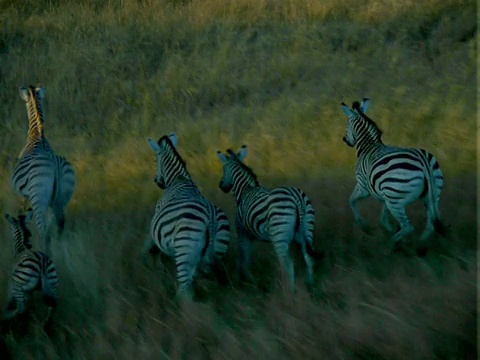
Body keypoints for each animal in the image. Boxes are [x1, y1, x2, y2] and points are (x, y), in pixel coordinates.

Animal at [11, 84, 75, 255]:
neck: (37, 134)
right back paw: (60, 252)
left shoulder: (22, 196)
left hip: (39, 196)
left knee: (44, 231)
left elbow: (23, 216)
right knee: (59, 227)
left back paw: (44, 251)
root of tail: (54, 163)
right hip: (61, 198)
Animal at [142, 134, 231, 300]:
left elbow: (149, 241)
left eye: (155, 160)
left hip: (185, 250)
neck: (179, 178)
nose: (157, 182)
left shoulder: (156, 215)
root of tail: (210, 218)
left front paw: (148, 257)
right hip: (218, 251)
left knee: (186, 292)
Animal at [216, 145, 320, 292]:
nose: (221, 186)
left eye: (223, 169)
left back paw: (290, 291)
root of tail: (296, 198)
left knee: (288, 262)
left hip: (279, 233)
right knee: (308, 256)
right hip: (306, 228)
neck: (245, 190)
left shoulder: (242, 233)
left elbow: (242, 258)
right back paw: (311, 286)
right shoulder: (251, 236)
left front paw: (248, 281)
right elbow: (244, 259)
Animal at [342, 98, 446, 256]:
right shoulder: (387, 194)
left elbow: (351, 200)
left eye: (347, 124)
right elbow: (383, 218)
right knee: (430, 225)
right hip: (429, 196)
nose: (344, 139)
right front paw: (390, 228)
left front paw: (365, 227)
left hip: (396, 201)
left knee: (408, 226)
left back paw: (390, 246)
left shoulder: (363, 186)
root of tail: (423, 161)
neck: (369, 146)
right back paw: (417, 245)